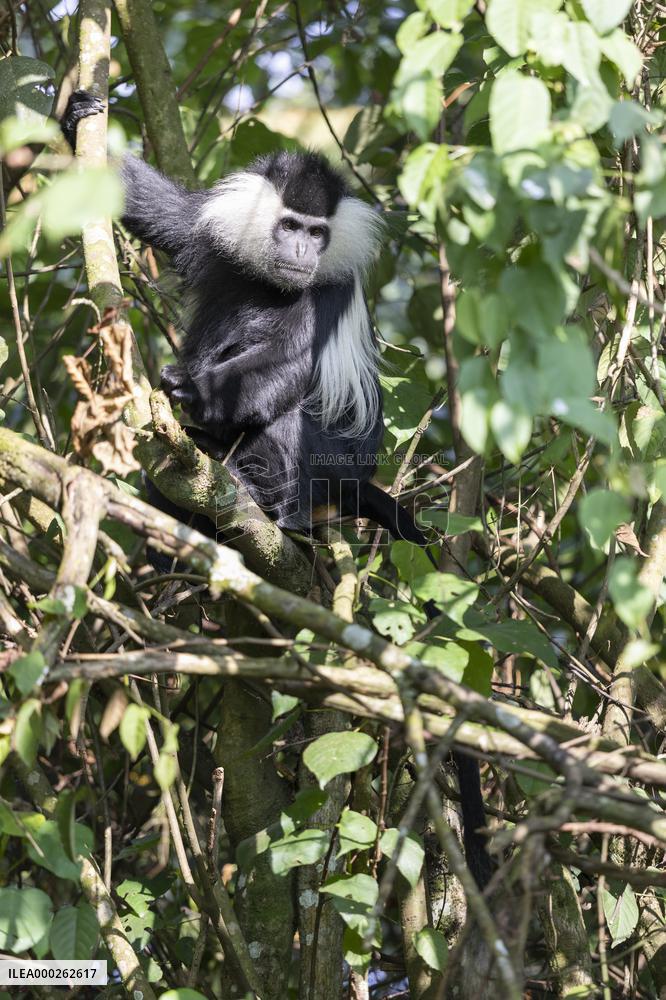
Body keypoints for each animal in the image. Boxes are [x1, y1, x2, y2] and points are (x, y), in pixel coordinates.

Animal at [61, 91, 493, 888]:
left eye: (319, 235)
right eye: (290, 226)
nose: (301, 252)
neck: (279, 279)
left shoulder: (323, 300)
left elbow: (291, 366)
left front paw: (193, 389)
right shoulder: (212, 237)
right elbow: (156, 210)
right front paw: (78, 113)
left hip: (325, 465)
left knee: (293, 409)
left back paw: (266, 504)